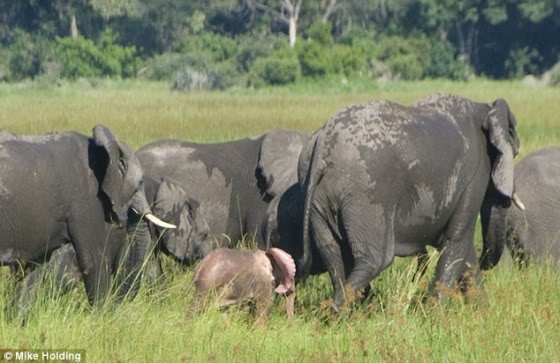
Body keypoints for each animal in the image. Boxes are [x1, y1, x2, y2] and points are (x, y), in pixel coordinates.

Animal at [298, 95, 520, 312]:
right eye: (516, 151)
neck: (484, 108)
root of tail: (323, 147)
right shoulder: (474, 174)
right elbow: (457, 239)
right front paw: (434, 315)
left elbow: (460, 249)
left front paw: (482, 312)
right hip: (367, 194)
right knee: (375, 259)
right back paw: (343, 312)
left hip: (318, 196)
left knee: (333, 255)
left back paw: (344, 313)